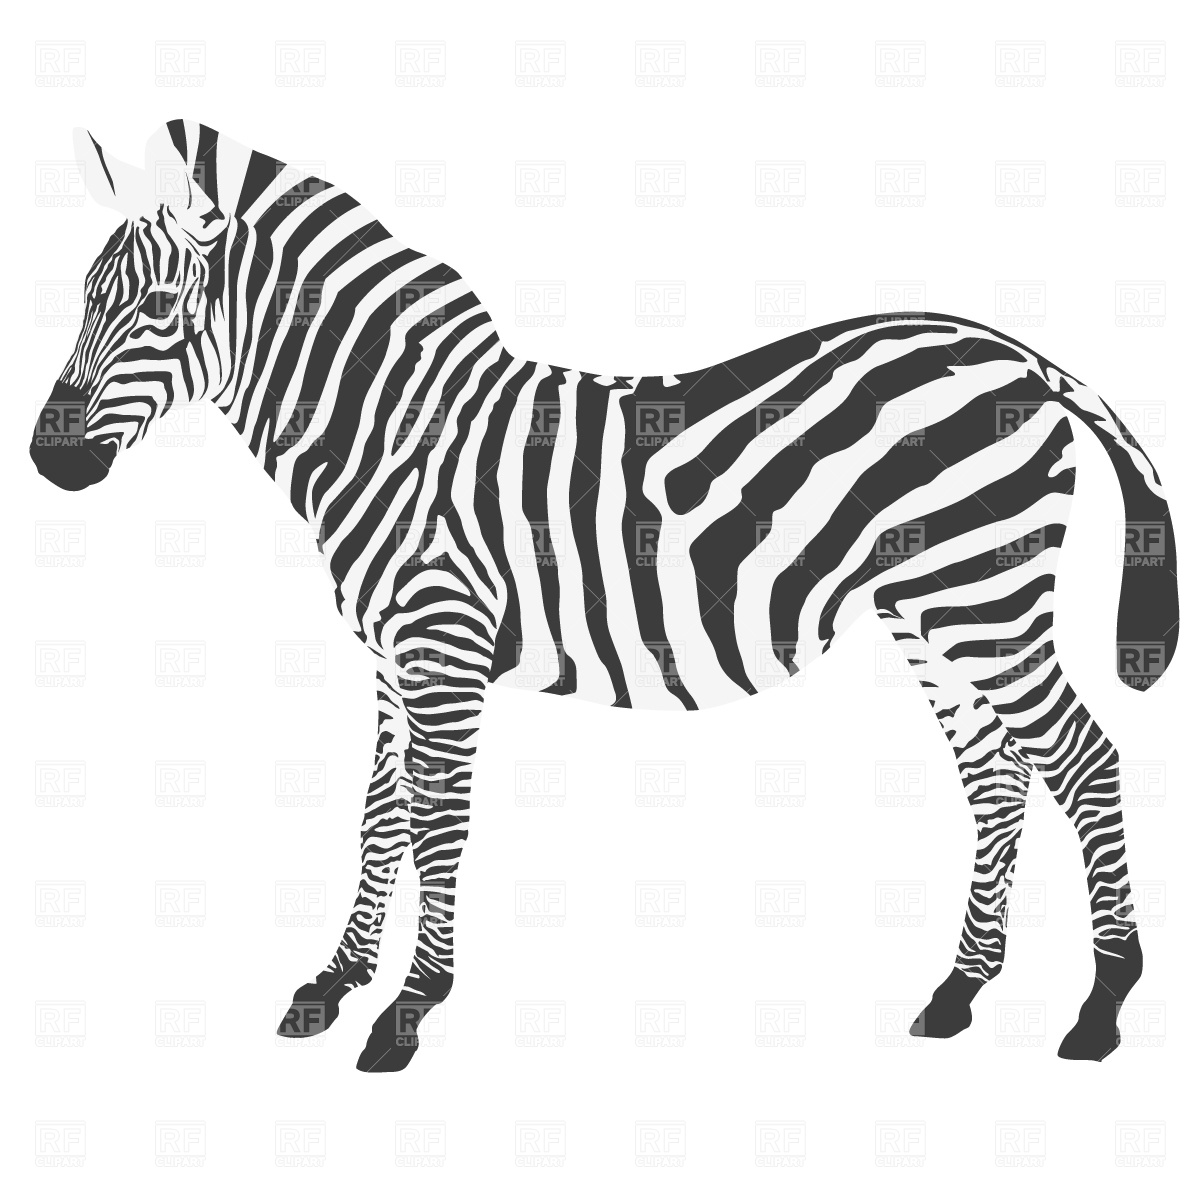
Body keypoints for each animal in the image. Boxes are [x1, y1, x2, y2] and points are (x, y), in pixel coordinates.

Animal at [31, 121, 1178, 1073]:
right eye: (84, 298)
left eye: (159, 309)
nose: (49, 462)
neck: (394, 435)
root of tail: (1017, 354)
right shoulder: (390, 652)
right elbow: (379, 808)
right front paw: (334, 983)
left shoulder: (441, 638)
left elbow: (438, 813)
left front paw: (408, 1008)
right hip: (932, 607)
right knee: (998, 779)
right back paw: (958, 994)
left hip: (985, 593)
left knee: (1083, 761)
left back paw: (1101, 1008)